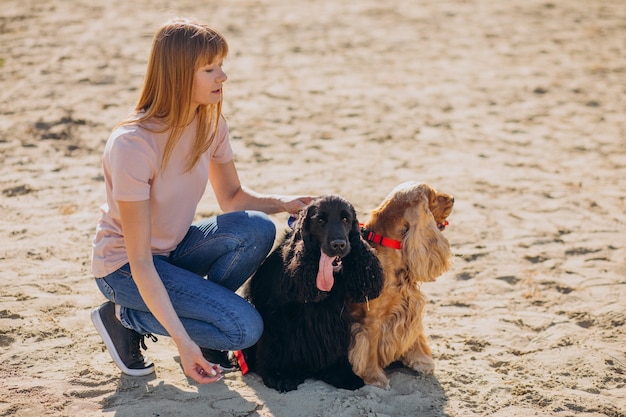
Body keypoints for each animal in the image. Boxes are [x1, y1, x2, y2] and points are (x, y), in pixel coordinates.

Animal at [243, 194, 380, 390]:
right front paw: (280, 375)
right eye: (320, 220)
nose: (339, 245)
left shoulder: (333, 318)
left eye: (346, 219)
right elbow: (276, 347)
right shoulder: (277, 318)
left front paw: (341, 373)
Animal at [348, 180, 450, 388]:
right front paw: (375, 378)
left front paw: (421, 361)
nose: (453, 198)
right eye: (434, 198)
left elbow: (415, 336)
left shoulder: (409, 305)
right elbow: (370, 350)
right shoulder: (371, 319)